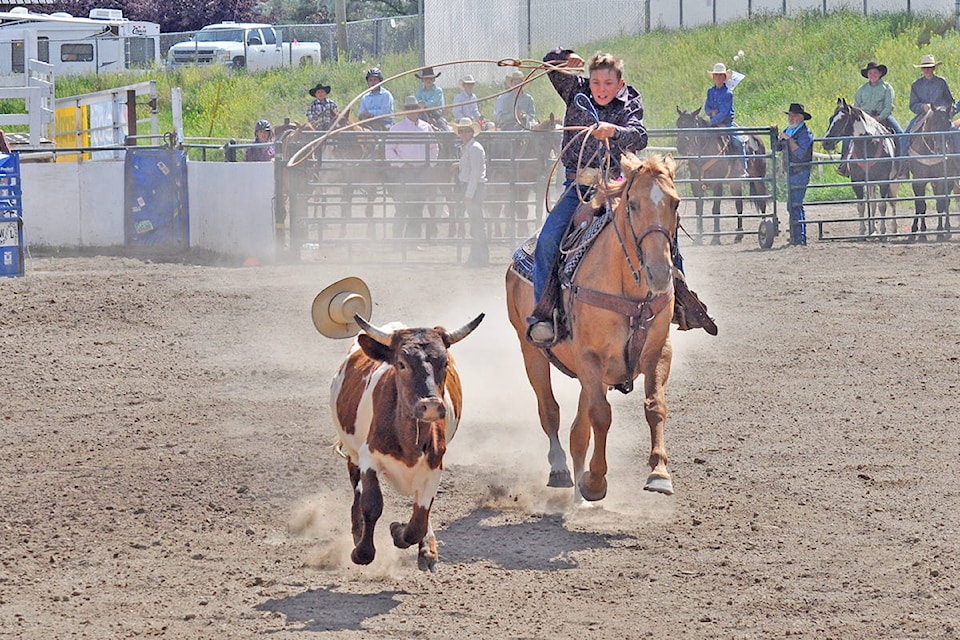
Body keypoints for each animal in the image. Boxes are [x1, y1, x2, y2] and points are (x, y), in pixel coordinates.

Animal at [502, 151, 684, 500]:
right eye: (633, 204)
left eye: (675, 203)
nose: (658, 273)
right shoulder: (589, 357)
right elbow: (601, 416)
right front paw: (596, 481)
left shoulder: (659, 351)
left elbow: (655, 406)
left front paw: (659, 473)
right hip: (530, 349)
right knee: (550, 410)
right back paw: (560, 468)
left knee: (578, 429)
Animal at [676, 106, 772, 244]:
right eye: (678, 124)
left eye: (691, 125)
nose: (681, 146)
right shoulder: (695, 184)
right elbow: (699, 209)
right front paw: (698, 238)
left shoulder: (717, 183)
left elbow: (715, 209)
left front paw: (716, 238)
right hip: (735, 182)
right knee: (739, 204)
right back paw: (739, 234)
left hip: (758, 178)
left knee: (762, 201)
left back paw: (764, 228)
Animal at [816, 95, 900, 235]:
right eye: (830, 119)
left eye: (841, 120)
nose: (826, 143)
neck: (868, 146)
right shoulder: (857, 181)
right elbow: (861, 206)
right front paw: (862, 231)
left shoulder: (883, 181)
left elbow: (883, 205)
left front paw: (883, 231)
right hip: (870, 183)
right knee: (872, 204)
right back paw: (872, 229)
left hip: (892, 181)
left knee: (892, 201)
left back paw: (893, 228)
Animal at [904, 105, 956, 240]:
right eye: (934, 122)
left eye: (948, 123)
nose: (941, 149)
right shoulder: (918, 180)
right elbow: (920, 204)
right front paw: (918, 231)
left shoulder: (942, 179)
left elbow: (940, 203)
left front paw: (940, 231)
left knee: (946, 202)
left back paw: (947, 229)